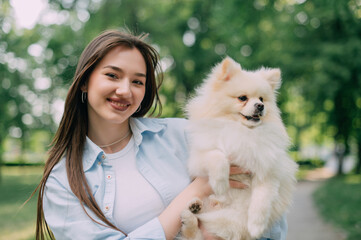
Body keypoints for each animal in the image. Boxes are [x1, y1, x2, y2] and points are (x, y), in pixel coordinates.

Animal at [181, 57, 296, 239]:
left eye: (261, 99)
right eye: (242, 98)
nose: (260, 106)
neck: (243, 131)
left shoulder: (268, 171)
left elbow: (261, 202)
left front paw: (256, 226)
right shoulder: (198, 158)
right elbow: (217, 156)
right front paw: (220, 183)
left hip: (230, 220)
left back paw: (192, 213)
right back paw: (192, 209)